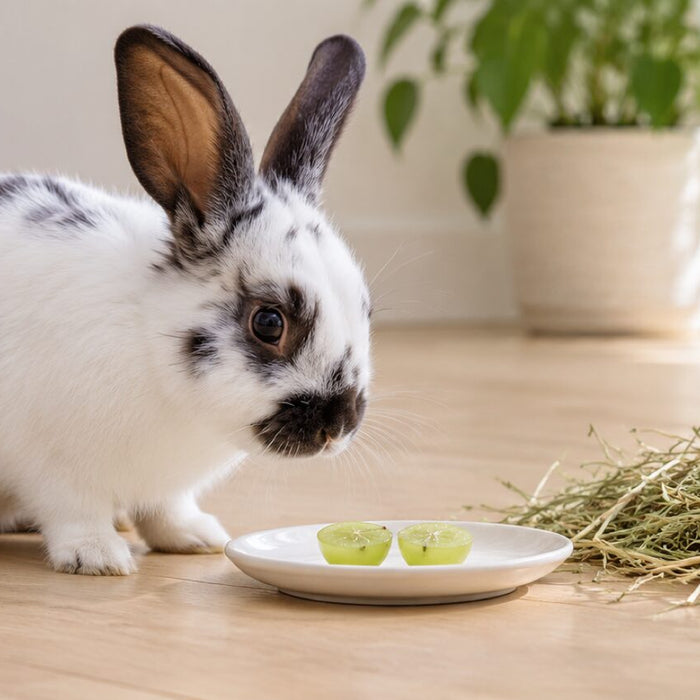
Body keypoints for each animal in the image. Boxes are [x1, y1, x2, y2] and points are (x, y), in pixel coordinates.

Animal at [0, 25, 370, 575]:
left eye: (366, 308)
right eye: (269, 323)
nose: (338, 426)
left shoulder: (164, 487)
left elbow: (165, 510)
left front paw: (197, 538)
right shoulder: (53, 466)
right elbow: (74, 511)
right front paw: (98, 558)